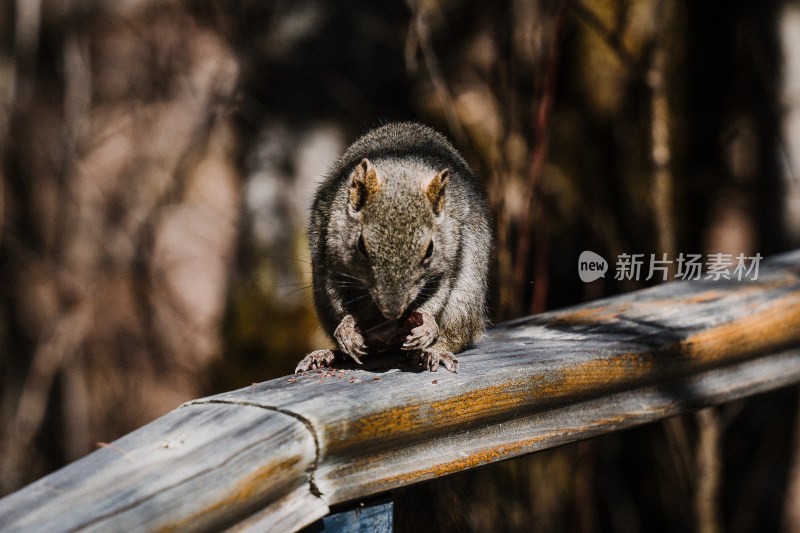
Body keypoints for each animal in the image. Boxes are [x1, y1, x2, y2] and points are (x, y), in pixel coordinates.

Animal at [296, 122, 490, 372]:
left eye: (430, 249)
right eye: (361, 245)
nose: (392, 312)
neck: (401, 174)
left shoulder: (449, 258)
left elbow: (438, 293)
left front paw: (427, 326)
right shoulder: (330, 256)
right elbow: (337, 299)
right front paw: (347, 329)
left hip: (464, 303)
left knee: (457, 336)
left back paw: (434, 351)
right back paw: (330, 355)